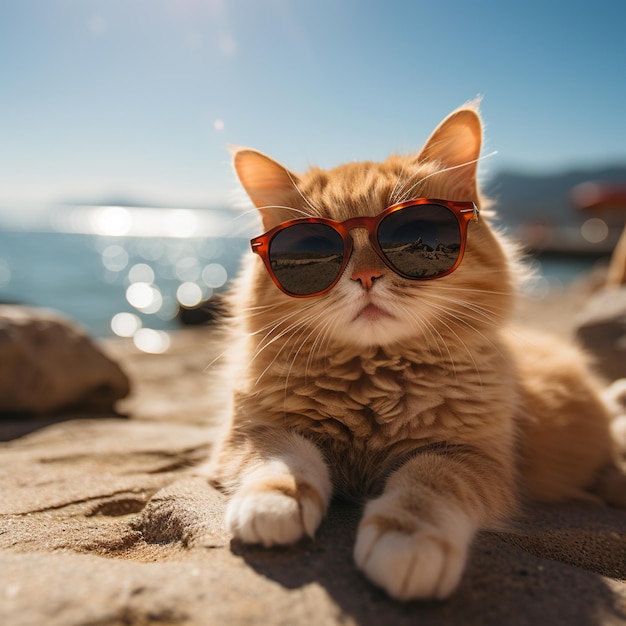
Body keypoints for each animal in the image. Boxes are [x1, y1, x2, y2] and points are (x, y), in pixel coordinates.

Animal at [204, 103, 620, 600]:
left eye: (408, 235)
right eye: (316, 249)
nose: (364, 277)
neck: (374, 378)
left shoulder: (471, 456)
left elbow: (427, 482)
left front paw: (406, 539)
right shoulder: (251, 431)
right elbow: (284, 457)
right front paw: (274, 501)